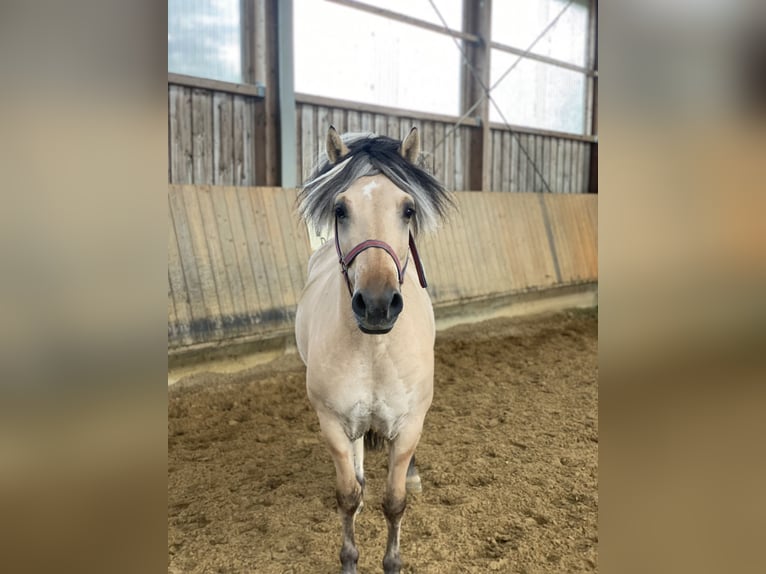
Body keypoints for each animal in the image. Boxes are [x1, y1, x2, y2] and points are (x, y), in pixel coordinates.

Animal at [294, 127, 450, 574]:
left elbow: (395, 502)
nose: (378, 304)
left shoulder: (410, 422)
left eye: (408, 209)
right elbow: (347, 497)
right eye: (340, 209)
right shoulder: (331, 422)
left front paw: (392, 562)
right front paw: (349, 559)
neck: (374, 348)